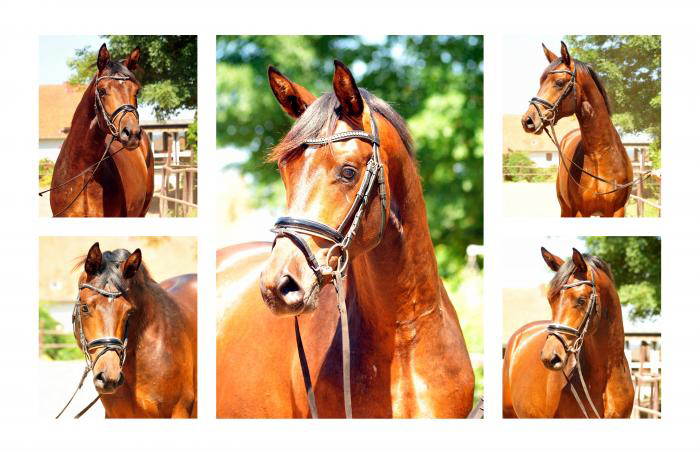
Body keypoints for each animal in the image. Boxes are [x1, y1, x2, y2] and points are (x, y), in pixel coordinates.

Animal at [520, 42, 636, 217]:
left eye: (559, 82)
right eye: (540, 82)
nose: (528, 121)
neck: (600, 155)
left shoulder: (618, 211)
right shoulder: (580, 211)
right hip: (565, 209)